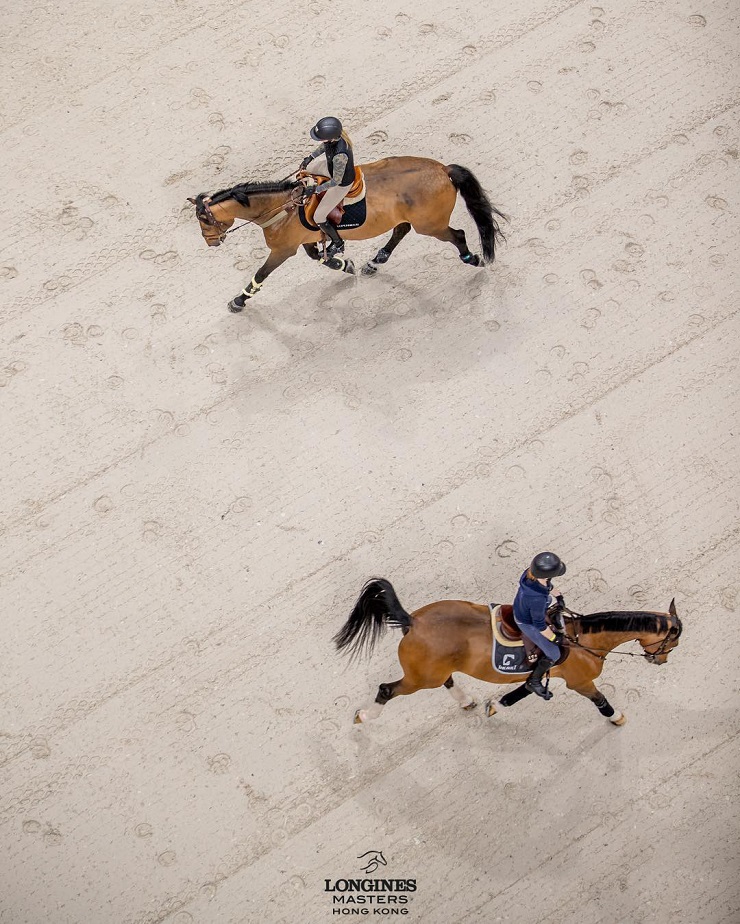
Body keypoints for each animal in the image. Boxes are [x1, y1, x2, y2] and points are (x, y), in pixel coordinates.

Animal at [188, 159, 506, 314]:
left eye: (204, 219)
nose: (210, 241)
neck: (284, 207)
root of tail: (443, 169)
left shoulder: (283, 250)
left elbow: (260, 275)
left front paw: (238, 302)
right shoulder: (305, 240)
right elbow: (320, 258)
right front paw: (346, 265)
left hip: (432, 224)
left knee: (458, 235)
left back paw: (473, 258)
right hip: (413, 219)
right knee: (400, 230)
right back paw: (375, 262)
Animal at [336, 580, 684, 724]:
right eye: (673, 643)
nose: (661, 659)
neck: (582, 639)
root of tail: (414, 620)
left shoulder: (538, 675)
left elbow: (517, 694)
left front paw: (494, 708)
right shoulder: (579, 682)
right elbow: (600, 702)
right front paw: (617, 717)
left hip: (431, 672)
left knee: (447, 681)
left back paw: (466, 700)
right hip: (419, 679)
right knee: (386, 689)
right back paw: (364, 716)